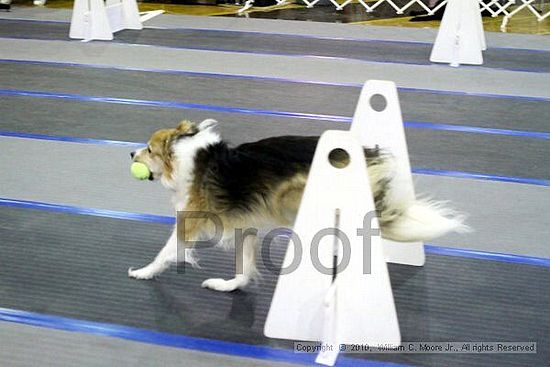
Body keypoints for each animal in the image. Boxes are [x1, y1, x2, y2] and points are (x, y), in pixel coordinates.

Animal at [129, 119, 470, 292]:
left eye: (149, 149)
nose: (131, 154)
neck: (187, 158)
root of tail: (365, 155)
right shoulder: (245, 225)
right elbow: (244, 267)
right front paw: (230, 285)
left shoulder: (189, 221)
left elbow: (166, 252)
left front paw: (144, 272)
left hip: (297, 197)